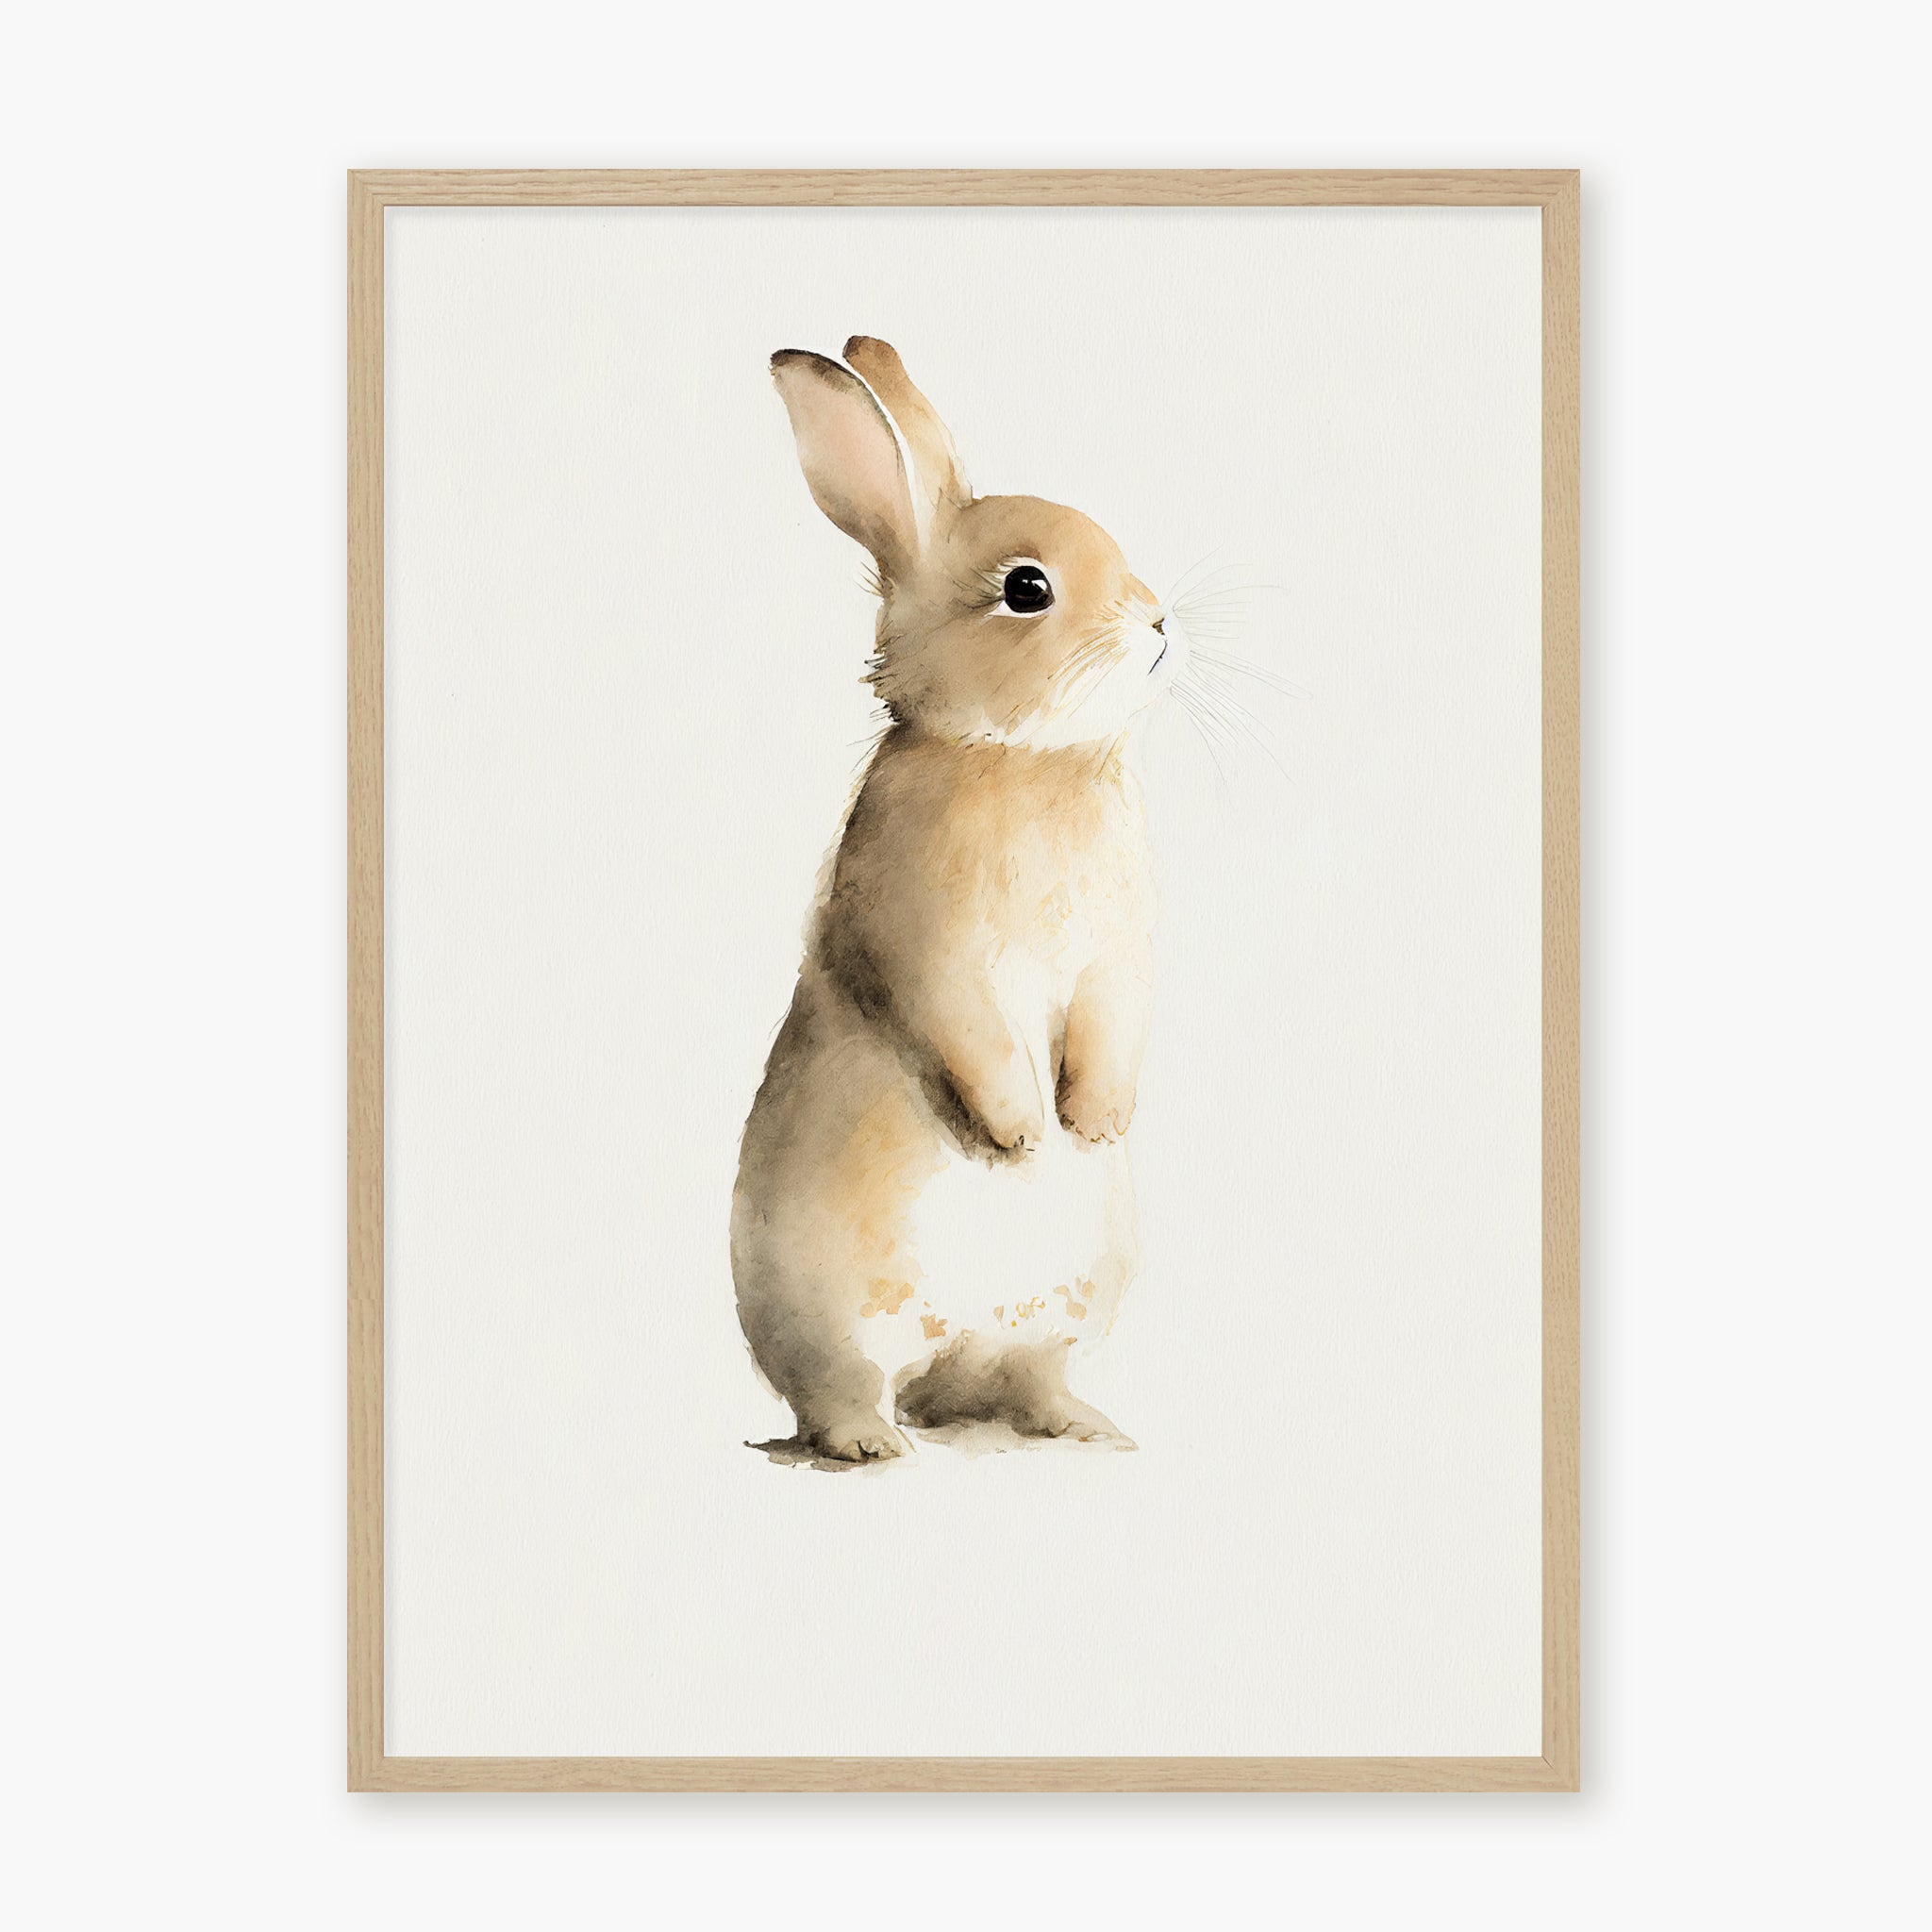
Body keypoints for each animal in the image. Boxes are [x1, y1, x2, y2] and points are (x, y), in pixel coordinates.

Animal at [732, 336, 1178, 1465]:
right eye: (1026, 588)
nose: (1160, 623)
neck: (1016, 757)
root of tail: (946, 1354)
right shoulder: (928, 947)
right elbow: (966, 1030)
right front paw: (1022, 1134)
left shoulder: (1117, 956)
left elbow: (1112, 1021)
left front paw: (1093, 1124)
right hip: (830, 1306)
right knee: (842, 1387)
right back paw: (870, 1445)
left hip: (1068, 1307)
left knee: (1021, 1379)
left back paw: (1085, 1427)